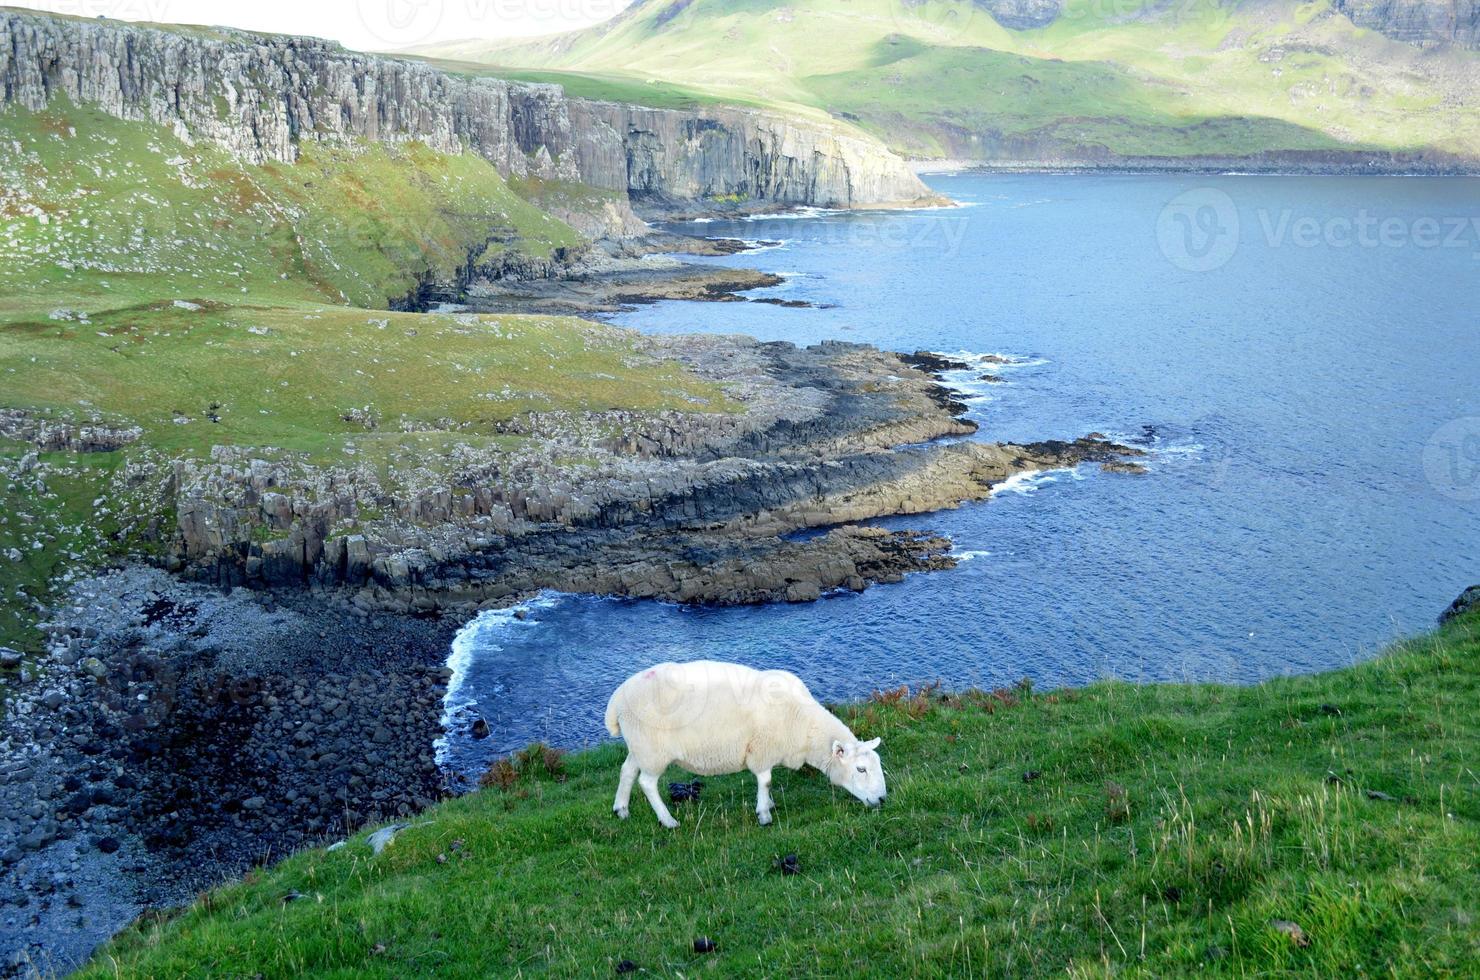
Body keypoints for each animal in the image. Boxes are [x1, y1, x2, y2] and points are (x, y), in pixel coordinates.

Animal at [603, 660, 882, 829]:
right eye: (860, 769)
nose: (882, 799)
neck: (803, 724)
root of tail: (617, 700)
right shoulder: (762, 749)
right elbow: (766, 781)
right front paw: (765, 814)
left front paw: (768, 804)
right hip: (653, 749)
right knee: (647, 783)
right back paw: (668, 820)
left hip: (640, 746)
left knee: (627, 771)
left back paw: (621, 809)